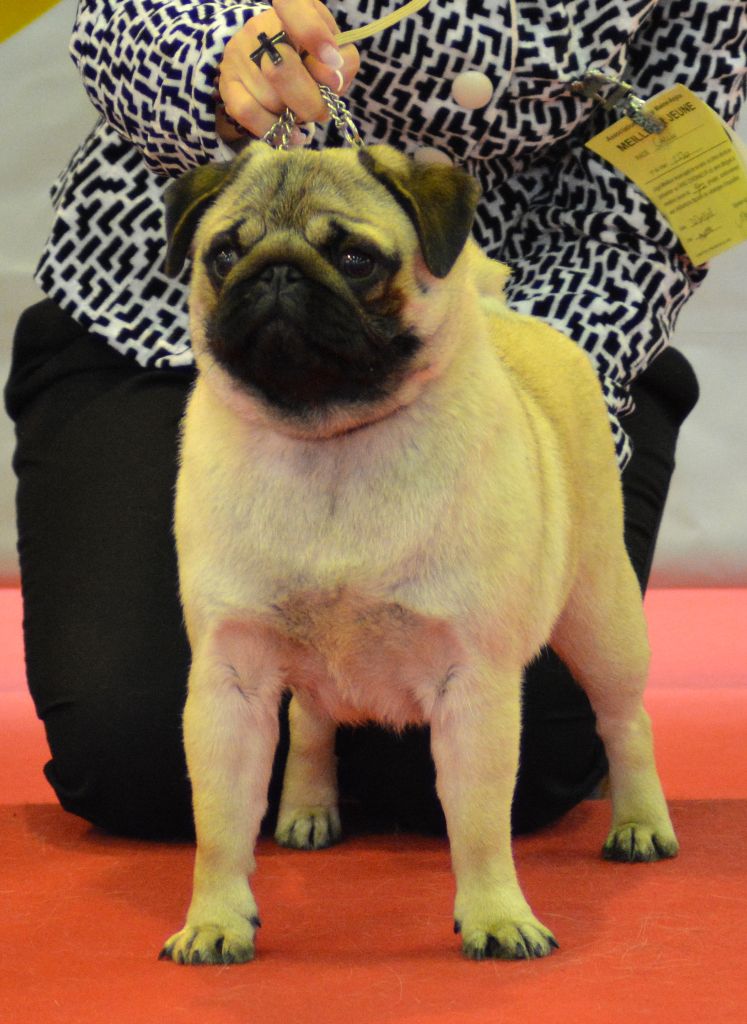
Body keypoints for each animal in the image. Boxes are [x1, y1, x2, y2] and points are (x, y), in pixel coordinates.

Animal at [159, 144, 680, 966]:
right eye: (224, 255)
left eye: (355, 258)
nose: (276, 273)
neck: (329, 442)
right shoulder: (230, 682)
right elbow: (218, 825)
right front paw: (214, 920)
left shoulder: (472, 682)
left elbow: (479, 821)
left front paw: (497, 915)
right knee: (312, 716)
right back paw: (307, 807)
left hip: (602, 614)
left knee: (624, 720)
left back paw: (638, 822)